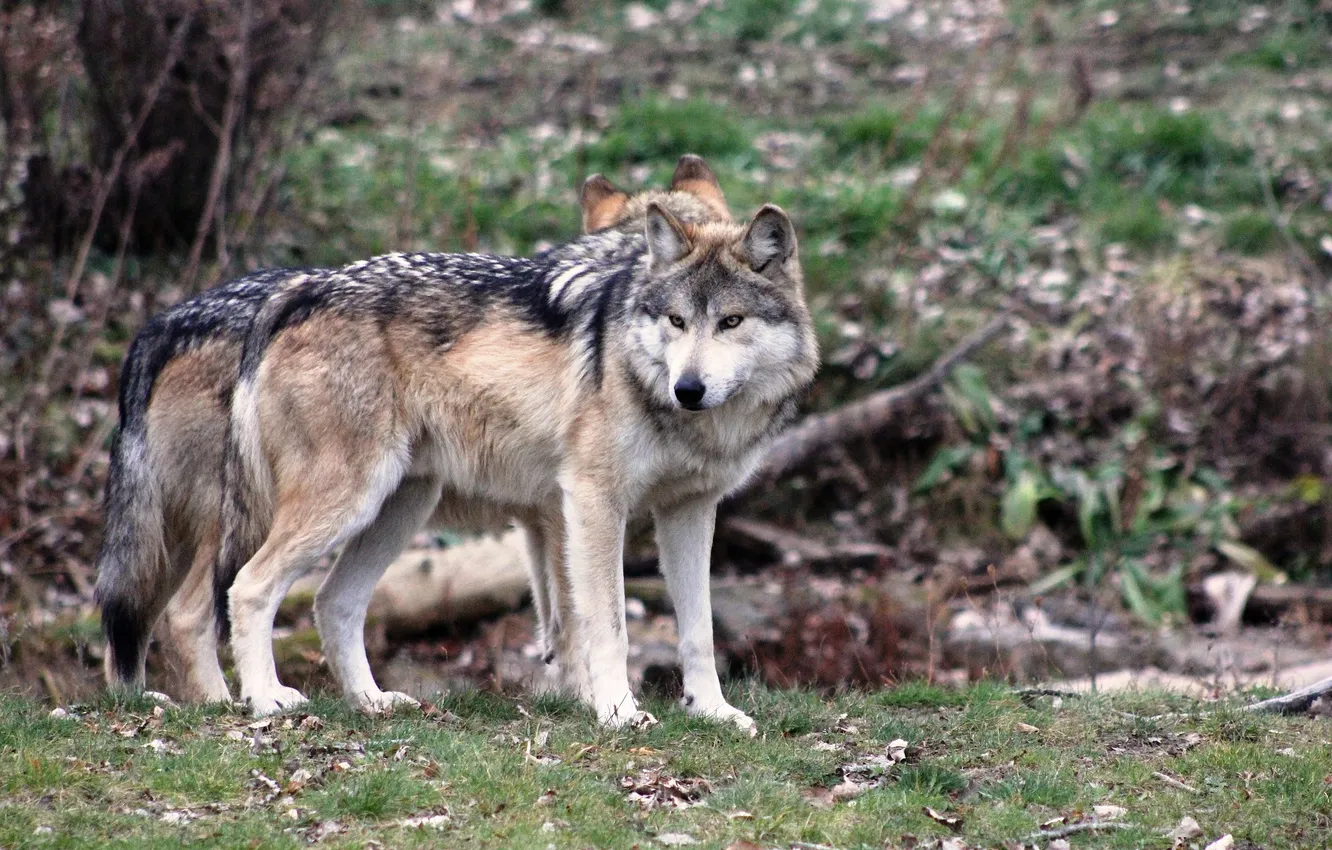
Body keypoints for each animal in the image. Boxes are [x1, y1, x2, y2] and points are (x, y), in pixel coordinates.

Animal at [93, 155, 736, 704]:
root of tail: (165, 322)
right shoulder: (575, 508)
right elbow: (582, 618)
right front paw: (592, 698)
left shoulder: (544, 516)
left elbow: (559, 618)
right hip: (275, 511)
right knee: (193, 611)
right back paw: (237, 702)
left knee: (155, 619)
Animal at [215, 160, 818, 731]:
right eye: (677, 320)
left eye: (730, 321)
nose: (687, 389)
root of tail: (299, 290)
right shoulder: (592, 502)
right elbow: (606, 624)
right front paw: (618, 711)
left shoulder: (688, 510)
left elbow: (699, 629)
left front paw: (713, 711)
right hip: (349, 502)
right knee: (249, 587)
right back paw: (266, 699)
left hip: (399, 509)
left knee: (333, 603)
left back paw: (372, 702)